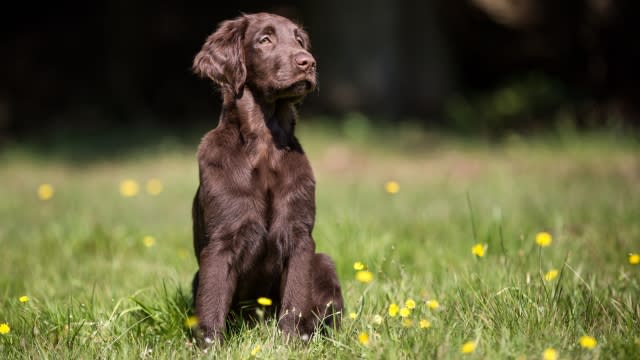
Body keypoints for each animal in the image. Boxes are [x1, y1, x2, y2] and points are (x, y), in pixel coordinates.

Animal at [190, 11, 342, 344]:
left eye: (299, 40)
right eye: (264, 40)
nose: (308, 62)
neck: (264, 144)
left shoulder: (300, 237)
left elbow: (294, 300)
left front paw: (290, 344)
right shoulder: (220, 241)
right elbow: (211, 302)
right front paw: (208, 347)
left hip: (323, 262)